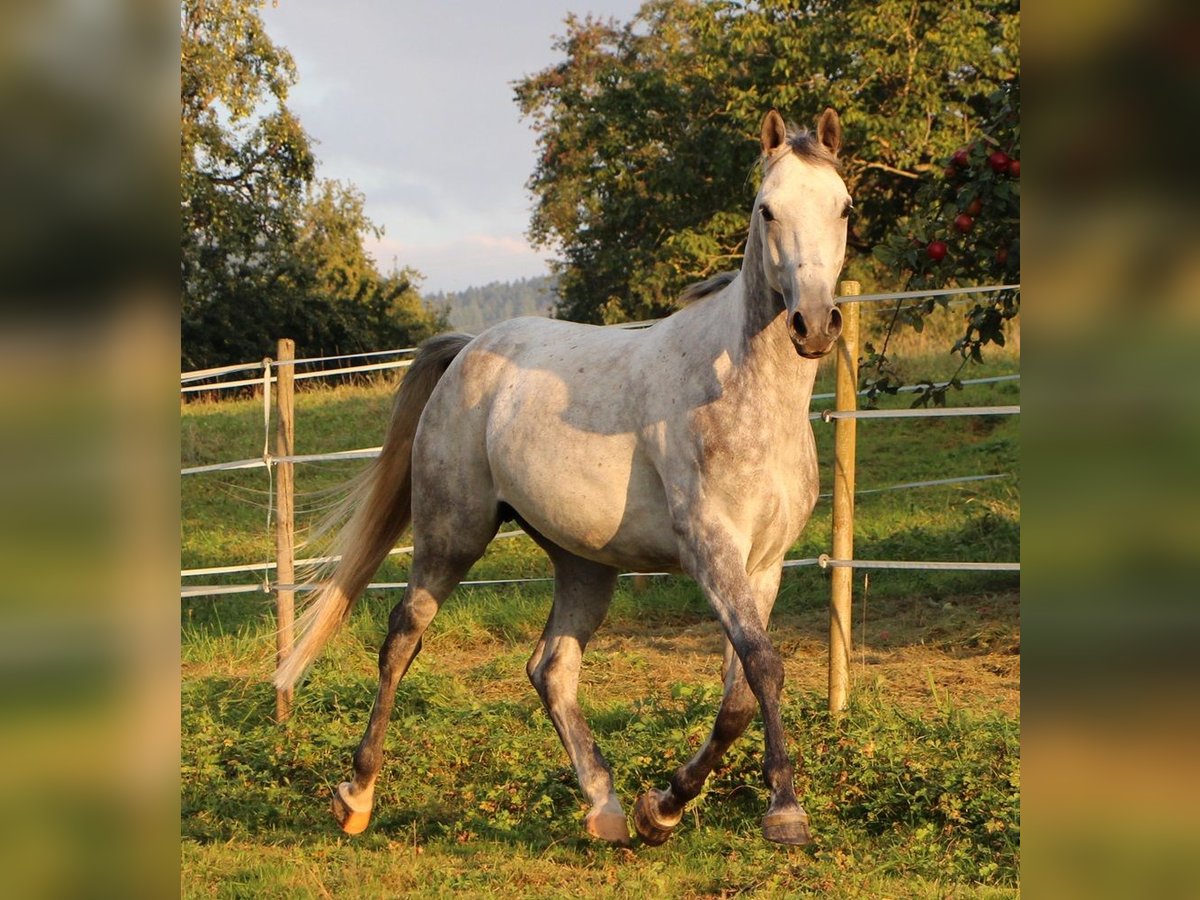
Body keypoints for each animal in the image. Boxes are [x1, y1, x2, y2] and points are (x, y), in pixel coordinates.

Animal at [274, 109, 854, 849]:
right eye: (766, 209)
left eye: (843, 207)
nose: (814, 325)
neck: (743, 396)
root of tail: (469, 350)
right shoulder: (712, 551)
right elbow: (764, 668)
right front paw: (783, 811)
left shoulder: (764, 565)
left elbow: (740, 696)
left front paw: (662, 808)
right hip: (451, 534)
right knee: (403, 638)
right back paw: (356, 796)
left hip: (583, 562)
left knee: (550, 669)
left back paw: (606, 809)